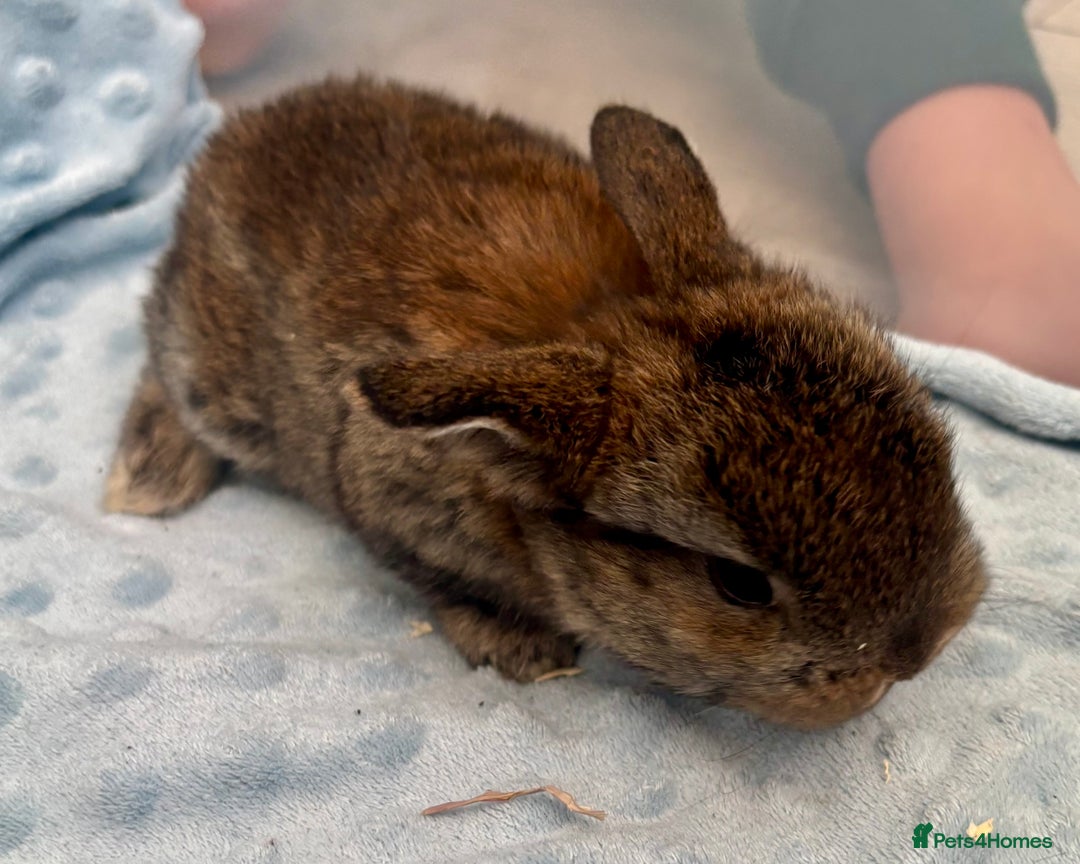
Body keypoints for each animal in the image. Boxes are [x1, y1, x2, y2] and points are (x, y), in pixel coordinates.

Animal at [104, 74, 986, 729]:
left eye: (933, 450)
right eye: (737, 584)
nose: (915, 655)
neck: (593, 325)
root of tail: (219, 150)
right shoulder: (388, 497)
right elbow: (434, 574)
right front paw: (523, 651)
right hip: (215, 381)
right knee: (158, 360)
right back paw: (144, 482)